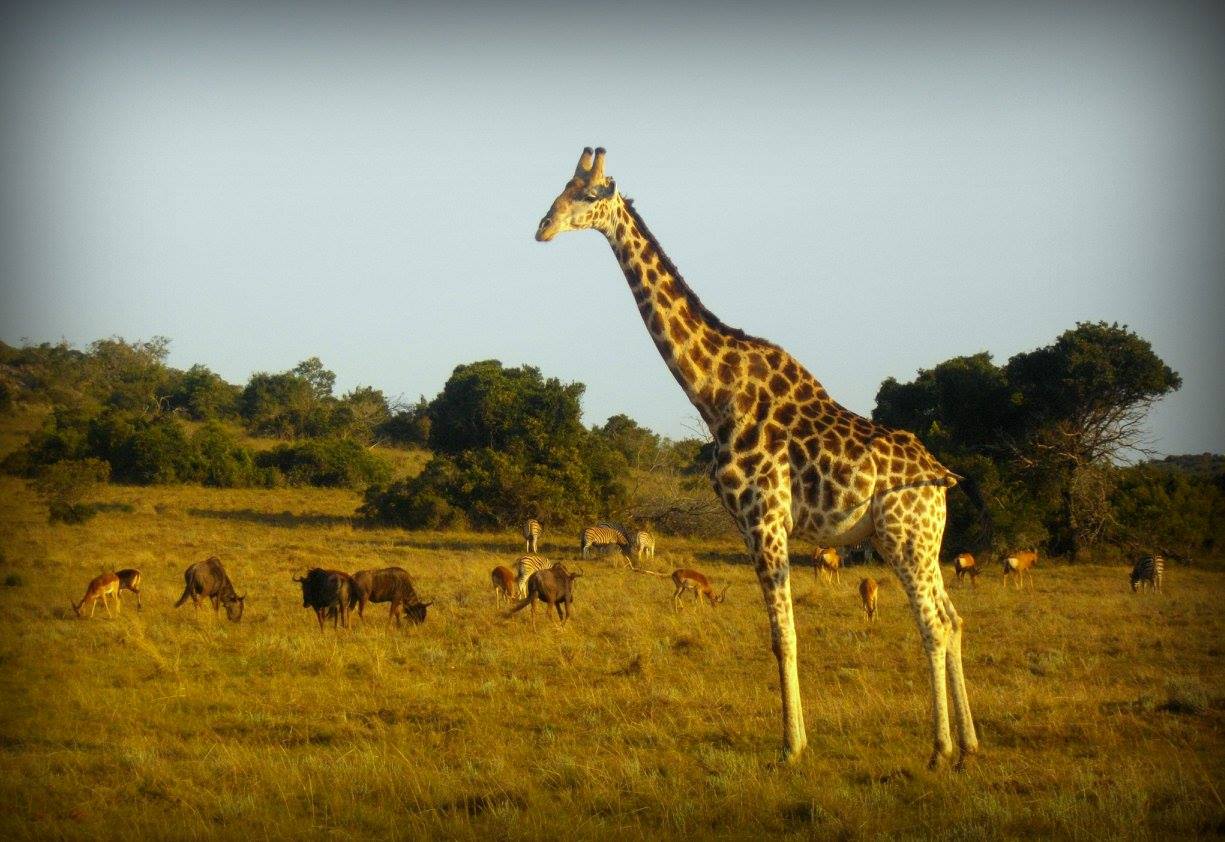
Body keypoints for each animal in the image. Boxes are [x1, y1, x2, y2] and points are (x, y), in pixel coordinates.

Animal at [535, 148, 978, 769]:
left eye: (589, 194)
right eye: (563, 186)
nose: (543, 227)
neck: (714, 393)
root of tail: (941, 479)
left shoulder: (763, 517)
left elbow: (783, 636)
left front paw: (792, 747)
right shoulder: (751, 525)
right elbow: (779, 634)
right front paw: (796, 740)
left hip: (903, 538)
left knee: (934, 625)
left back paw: (940, 750)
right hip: (926, 540)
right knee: (954, 620)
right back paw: (970, 745)